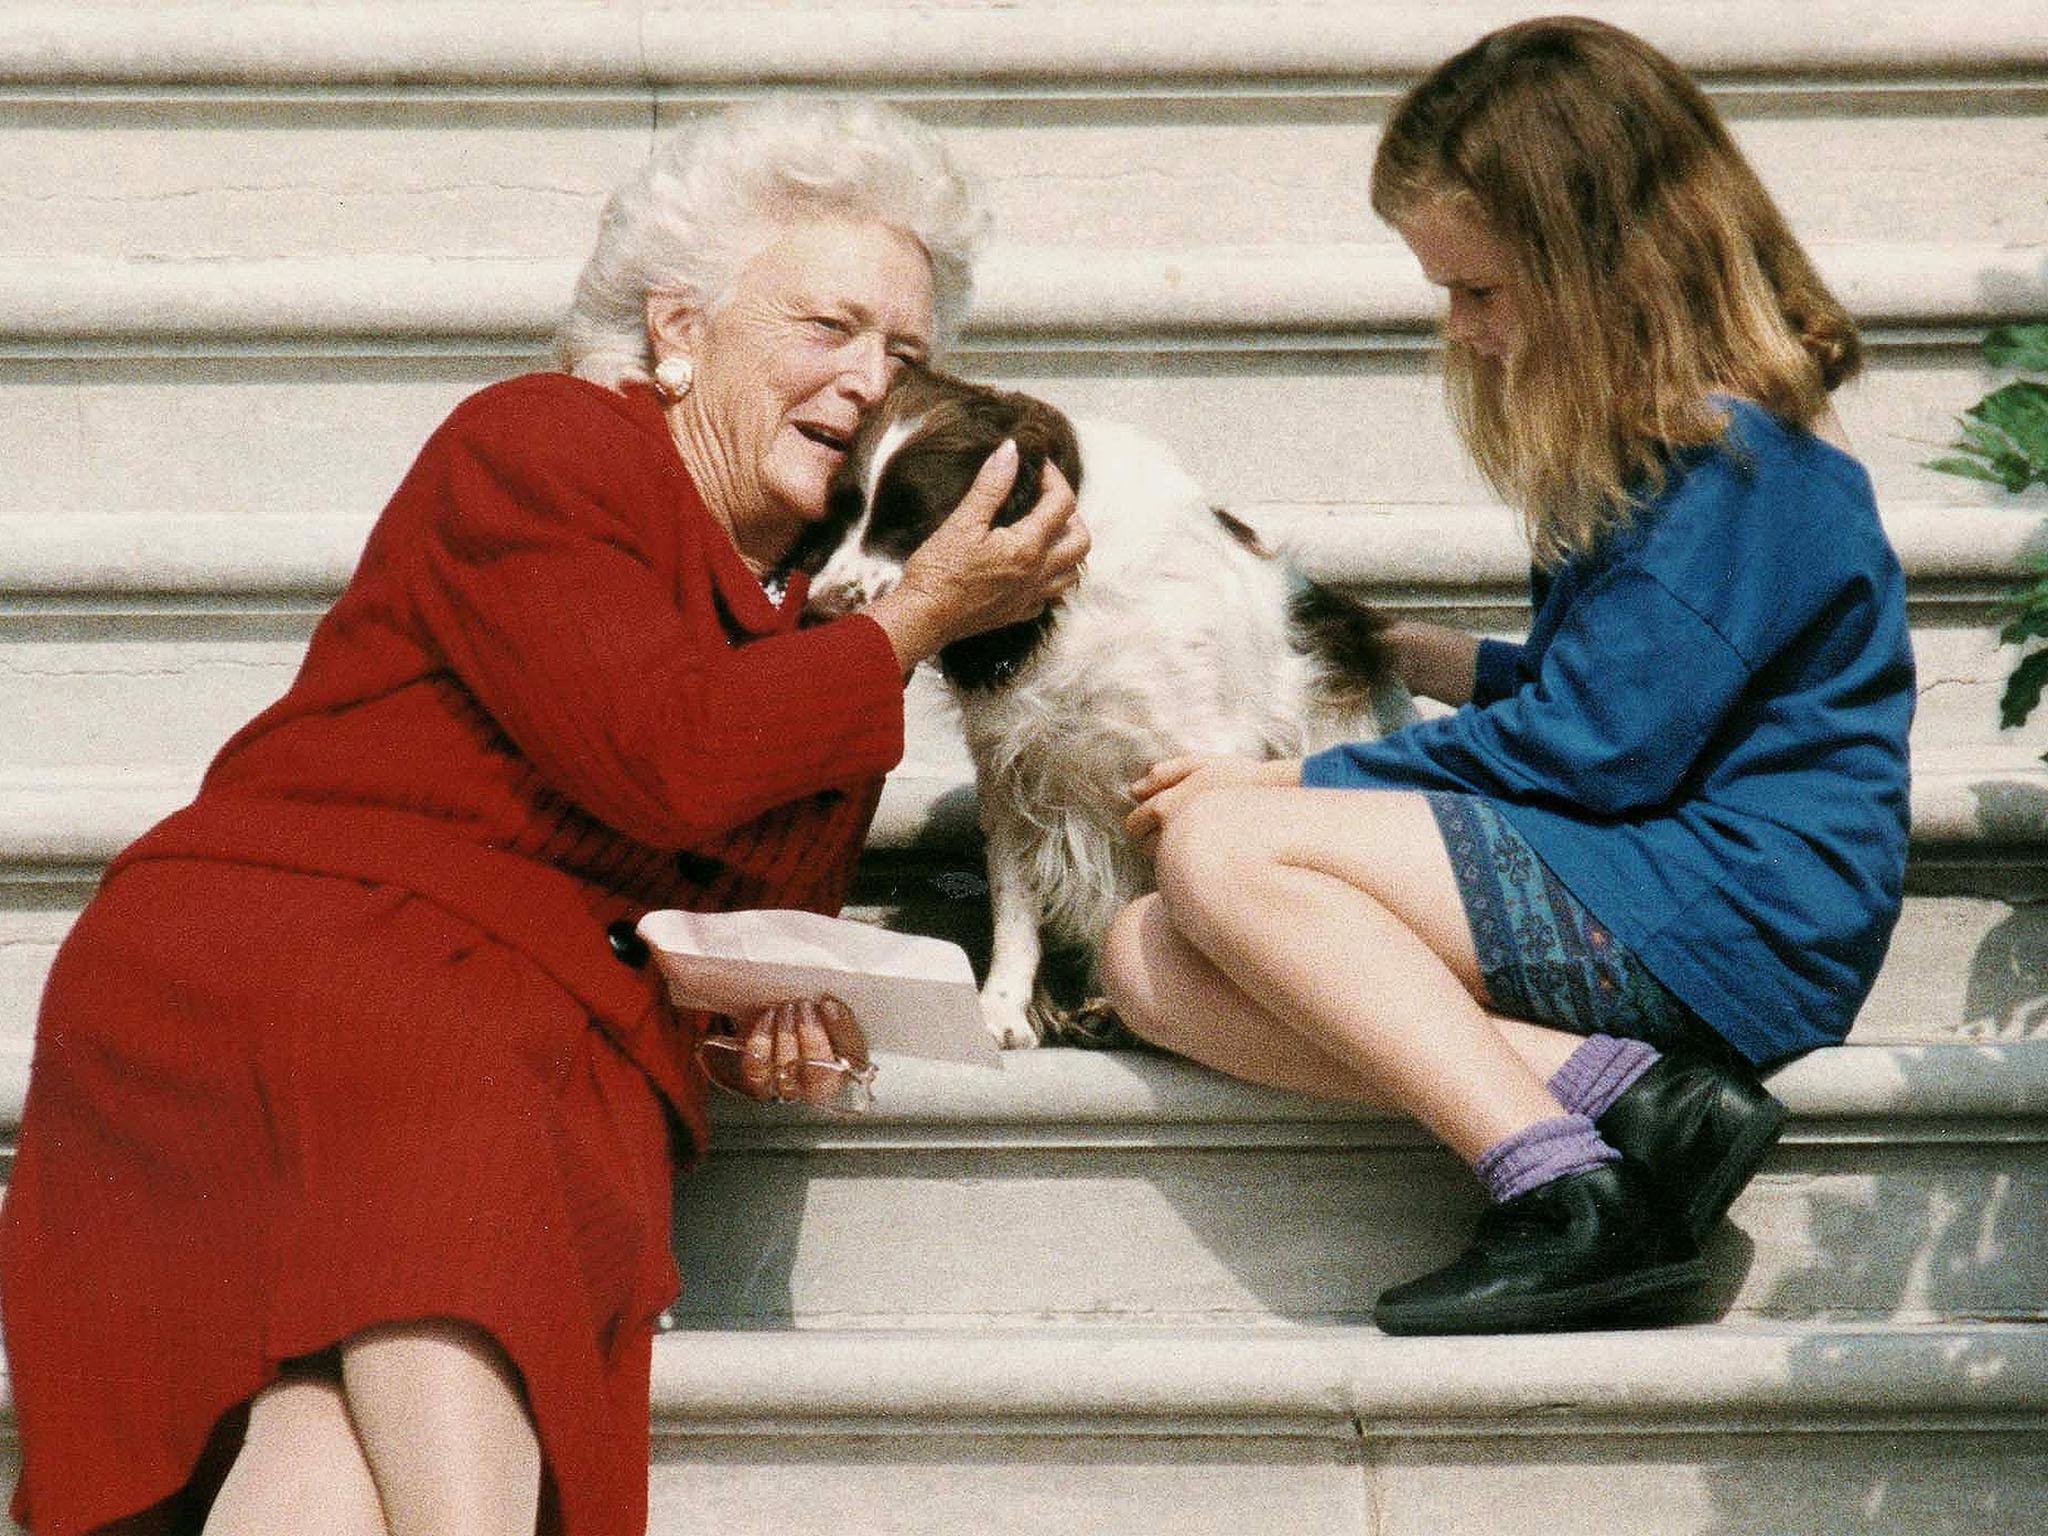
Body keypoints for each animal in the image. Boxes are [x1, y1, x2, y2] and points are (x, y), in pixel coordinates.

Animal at [786, 366, 1409, 1056]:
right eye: (841, 512)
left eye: (912, 522)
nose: (814, 612)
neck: (1076, 595)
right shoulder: (1013, 772)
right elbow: (1015, 904)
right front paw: (1001, 1012)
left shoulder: (1193, 759)